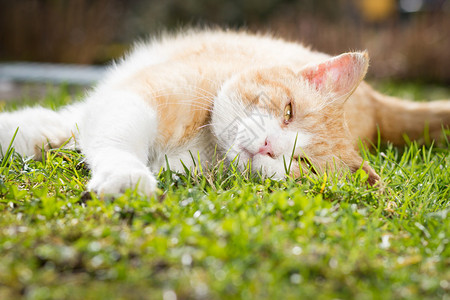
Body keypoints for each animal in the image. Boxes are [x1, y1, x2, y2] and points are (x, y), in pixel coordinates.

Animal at [0, 29, 450, 196]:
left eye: (302, 163)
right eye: (289, 111)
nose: (269, 146)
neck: (207, 145)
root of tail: (373, 101)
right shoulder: (134, 97)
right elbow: (104, 135)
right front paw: (125, 173)